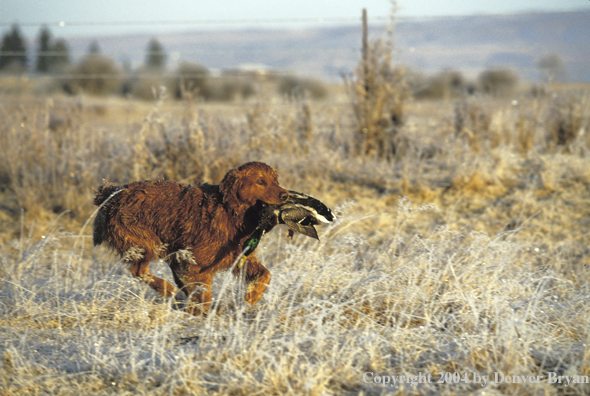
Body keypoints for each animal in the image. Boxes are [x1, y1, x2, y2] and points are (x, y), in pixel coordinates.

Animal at [91, 161, 292, 316]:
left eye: (276, 180)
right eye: (261, 181)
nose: (286, 195)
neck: (229, 210)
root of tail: (113, 193)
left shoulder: (240, 256)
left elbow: (265, 275)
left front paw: (250, 298)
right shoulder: (191, 263)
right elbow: (203, 295)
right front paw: (200, 315)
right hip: (146, 242)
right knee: (138, 270)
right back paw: (165, 288)